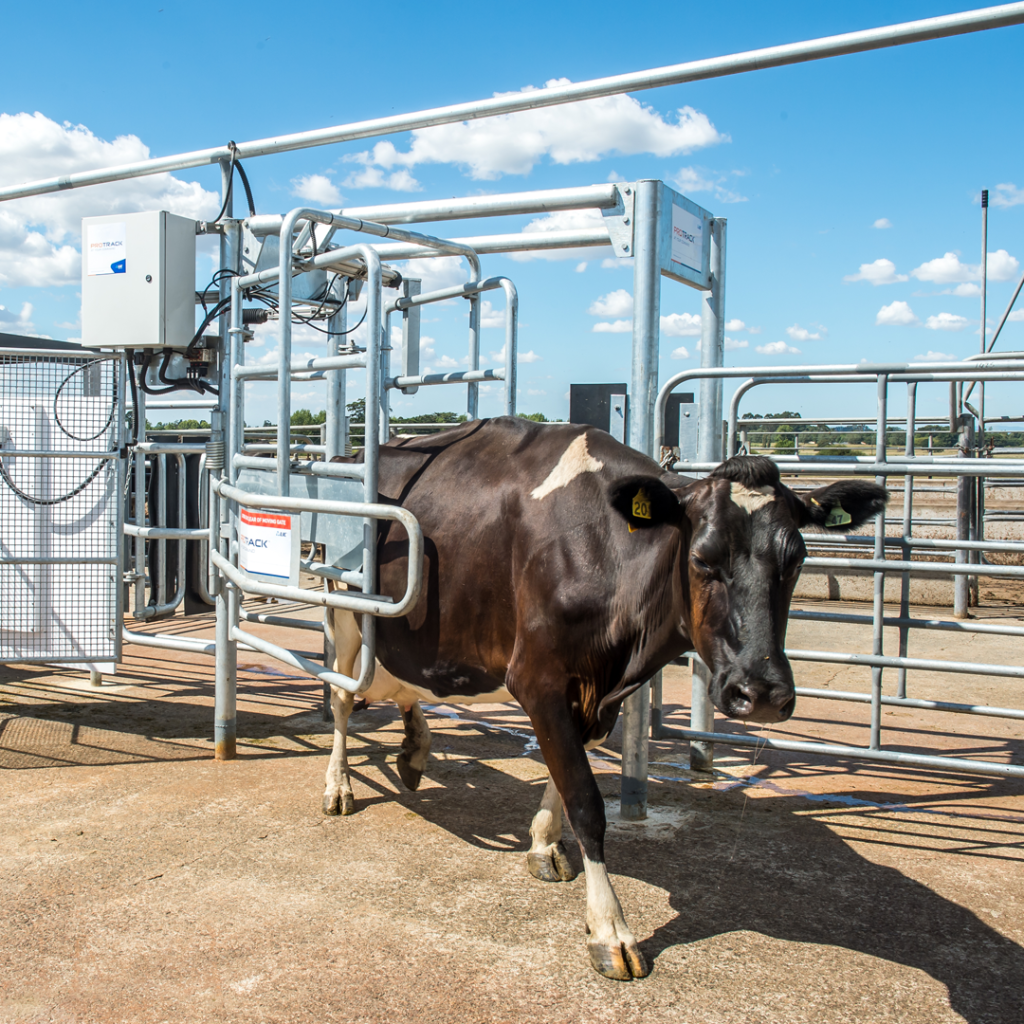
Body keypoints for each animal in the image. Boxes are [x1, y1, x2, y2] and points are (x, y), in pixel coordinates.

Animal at [322, 416, 887, 980]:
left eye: (797, 559)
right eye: (702, 559)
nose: (762, 693)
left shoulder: (598, 695)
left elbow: (563, 774)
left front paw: (544, 842)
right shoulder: (538, 679)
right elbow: (586, 802)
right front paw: (611, 930)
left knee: (401, 678)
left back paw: (414, 749)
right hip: (345, 615)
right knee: (345, 698)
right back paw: (339, 786)